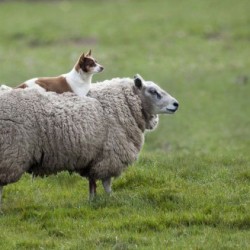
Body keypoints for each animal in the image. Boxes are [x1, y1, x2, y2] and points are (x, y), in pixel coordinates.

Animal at [0, 73, 180, 205]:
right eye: (153, 91)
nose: (176, 104)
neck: (123, 105)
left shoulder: (94, 157)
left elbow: (92, 183)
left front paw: (92, 202)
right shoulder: (110, 156)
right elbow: (106, 183)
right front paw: (112, 199)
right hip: (9, 154)